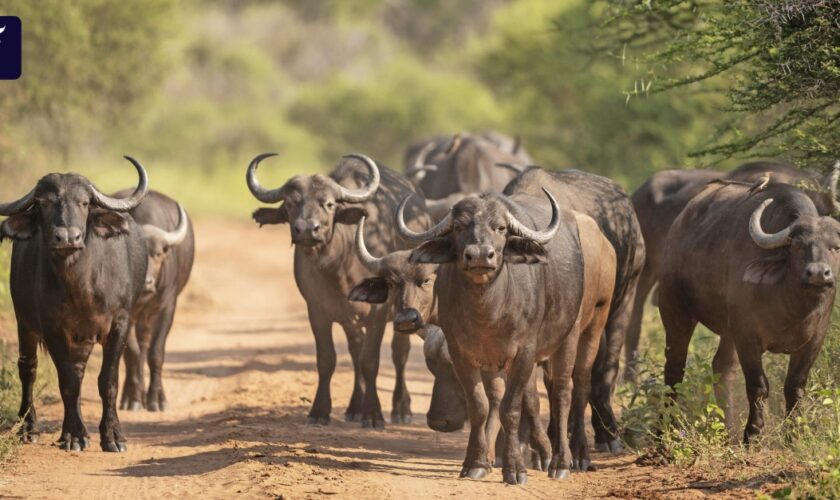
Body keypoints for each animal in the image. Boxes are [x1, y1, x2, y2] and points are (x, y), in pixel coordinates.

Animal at [0, 158, 149, 452]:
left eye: (84, 202)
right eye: (43, 203)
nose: (68, 238)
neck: (81, 286)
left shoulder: (120, 323)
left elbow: (107, 381)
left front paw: (112, 436)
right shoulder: (52, 328)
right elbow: (66, 382)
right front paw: (73, 435)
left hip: (82, 339)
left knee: (79, 373)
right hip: (24, 322)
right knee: (28, 368)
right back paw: (29, 428)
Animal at [117, 189, 194, 412]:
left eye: (158, 253)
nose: (146, 283)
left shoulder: (167, 308)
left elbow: (156, 351)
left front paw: (157, 399)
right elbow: (132, 353)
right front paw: (133, 399)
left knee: (145, 344)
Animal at [664, 180, 840, 442]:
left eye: (835, 247)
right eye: (797, 246)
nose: (818, 273)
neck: (793, 307)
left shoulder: (814, 339)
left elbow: (795, 386)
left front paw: (795, 433)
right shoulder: (747, 334)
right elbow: (759, 386)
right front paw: (753, 433)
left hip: (727, 332)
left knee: (722, 368)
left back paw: (727, 429)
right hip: (675, 312)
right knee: (674, 371)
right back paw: (665, 430)